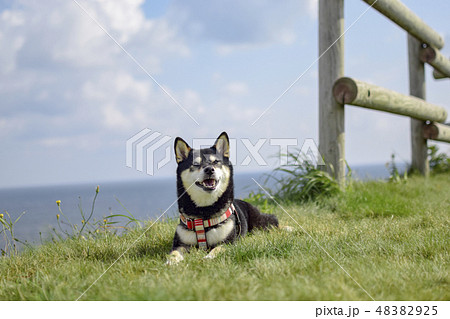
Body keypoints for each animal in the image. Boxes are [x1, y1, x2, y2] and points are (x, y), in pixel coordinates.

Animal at [167, 132, 280, 264]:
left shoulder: (228, 242)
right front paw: (171, 261)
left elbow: (217, 249)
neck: (204, 211)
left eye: (216, 162)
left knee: (274, 222)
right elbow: (174, 252)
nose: (209, 169)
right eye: (195, 164)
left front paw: (208, 257)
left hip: (259, 222)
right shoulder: (181, 243)